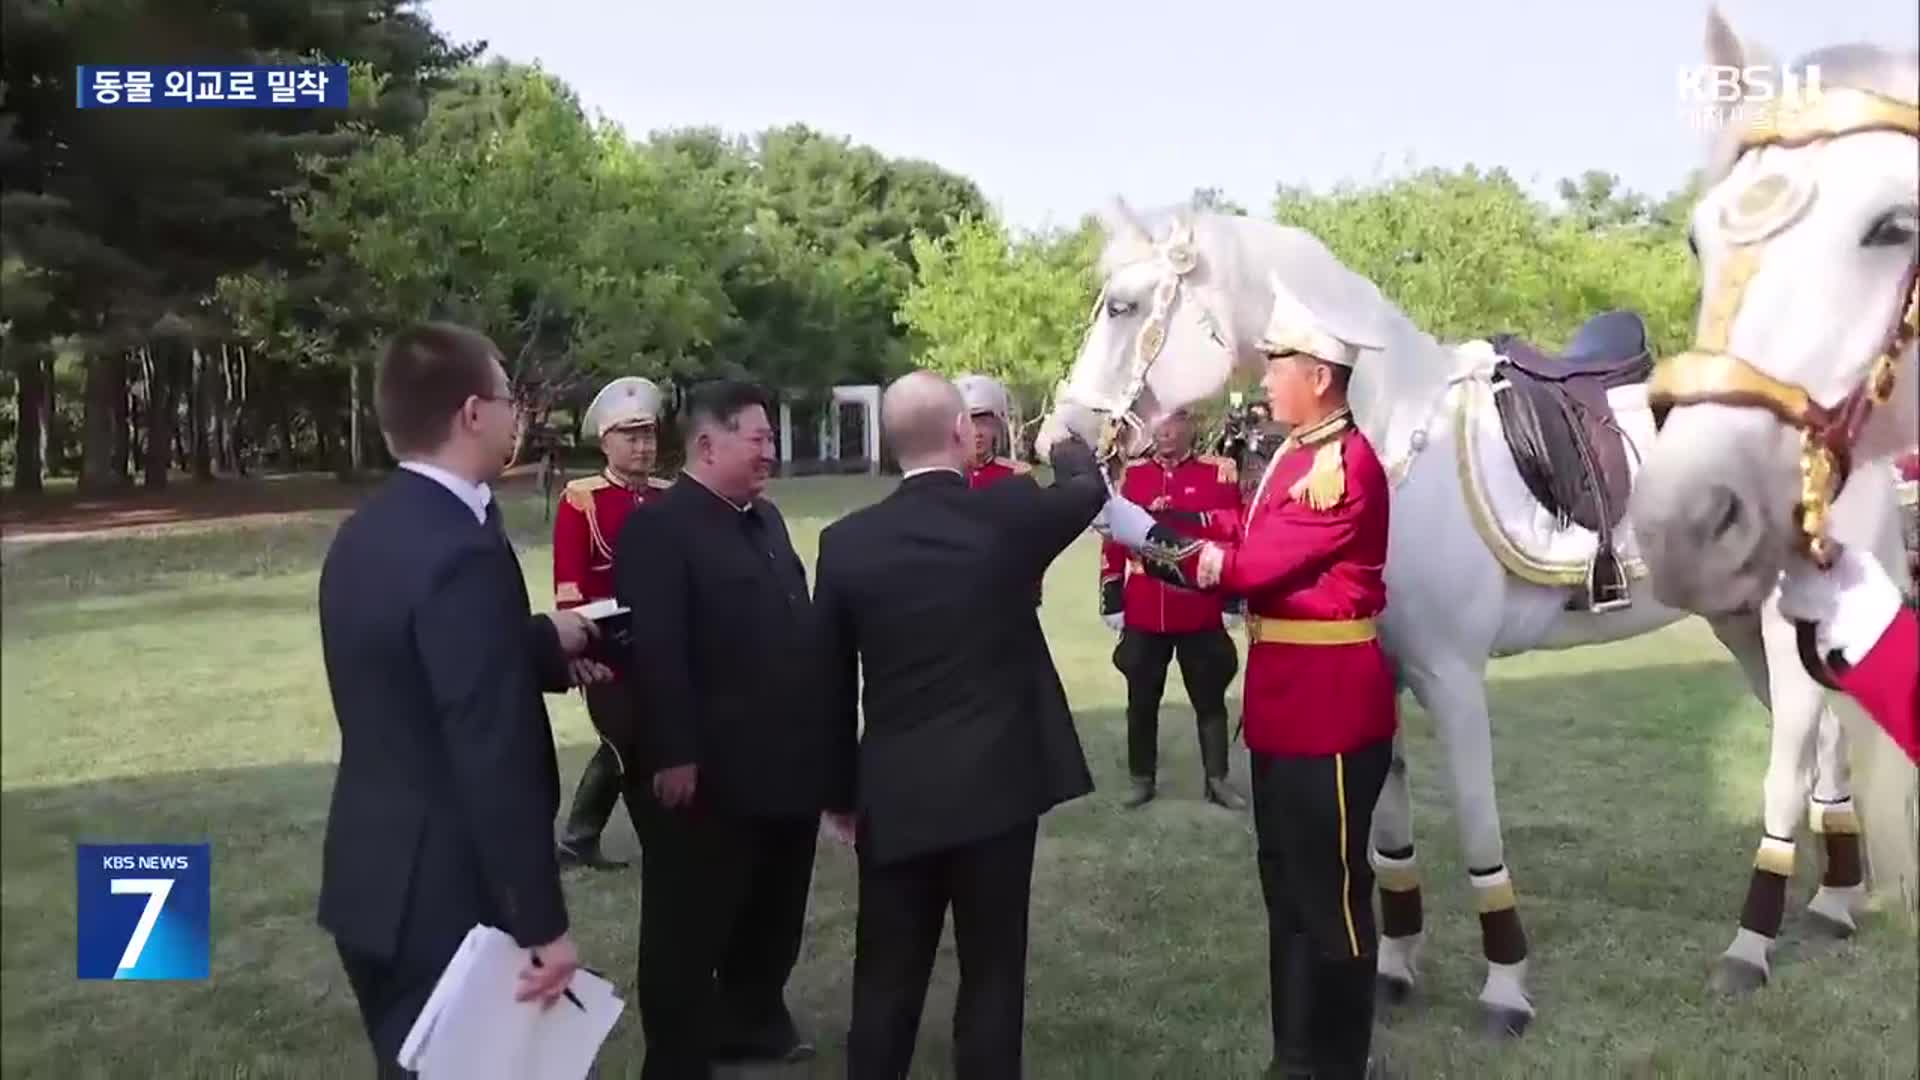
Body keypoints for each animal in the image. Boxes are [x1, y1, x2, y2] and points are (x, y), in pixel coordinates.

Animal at [1036, 191, 1904, 1022]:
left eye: (1122, 307)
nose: (1057, 441)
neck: (1390, 441)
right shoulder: (1376, 673)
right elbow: (1388, 835)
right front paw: (1393, 969)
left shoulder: (1450, 676)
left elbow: (1479, 823)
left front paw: (1505, 986)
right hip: (1745, 626)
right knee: (1826, 740)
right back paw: (1833, 899)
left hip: (1773, 624)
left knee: (1788, 762)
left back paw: (1750, 946)